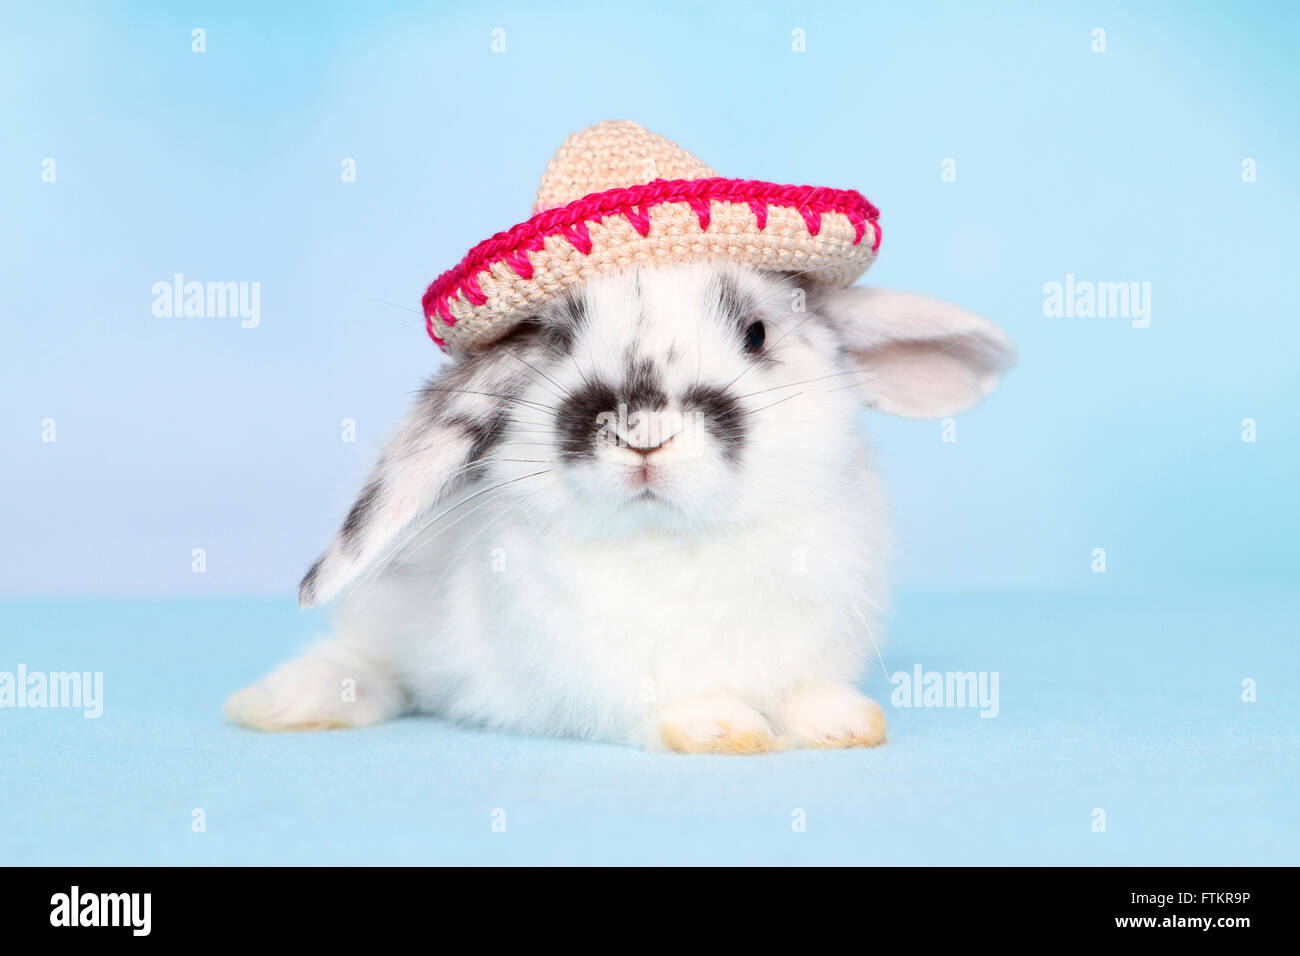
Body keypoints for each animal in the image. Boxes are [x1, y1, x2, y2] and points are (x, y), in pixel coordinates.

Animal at [224, 261, 1015, 752]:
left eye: (756, 333)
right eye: (557, 340)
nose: (643, 433)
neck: (676, 539)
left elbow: (807, 691)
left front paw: (845, 724)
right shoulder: (595, 677)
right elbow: (665, 703)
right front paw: (722, 731)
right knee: (366, 666)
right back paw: (281, 704)